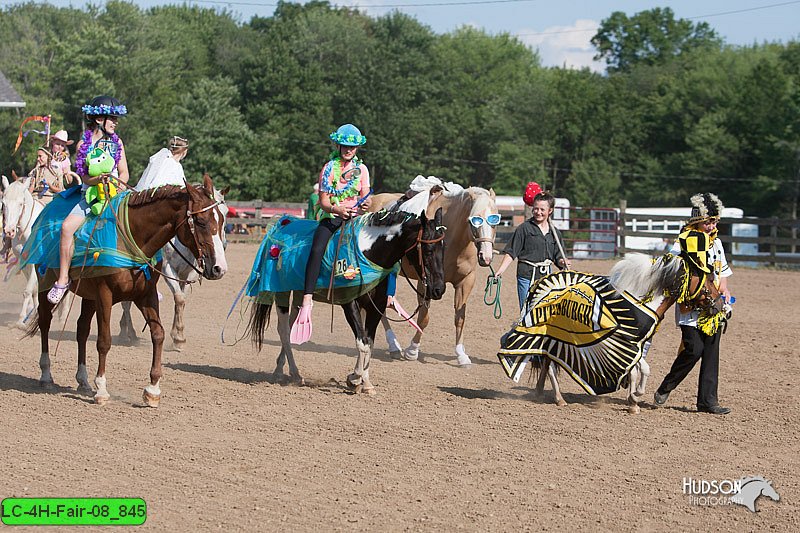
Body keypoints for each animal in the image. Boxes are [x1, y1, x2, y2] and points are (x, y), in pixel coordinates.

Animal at [22, 174, 228, 404]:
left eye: (221, 219)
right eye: (200, 221)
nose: (219, 268)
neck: (130, 239)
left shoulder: (146, 295)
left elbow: (158, 334)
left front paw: (152, 389)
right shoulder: (104, 295)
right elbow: (104, 341)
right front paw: (102, 390)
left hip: (89, 295)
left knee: (82, 330)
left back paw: (83, 380)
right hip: (46, 284)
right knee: (45, 322)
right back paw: (46, 375)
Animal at [245, 191, 444, 390]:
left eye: (443, 249)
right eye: (428, 250)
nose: (439, 289)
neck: (368, 253)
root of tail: (283, 224)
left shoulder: (376, 306)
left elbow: (369, 343)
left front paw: (365, 382)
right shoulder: (349, 302)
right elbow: (362, 342)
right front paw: (355, 378)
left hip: (299, 293)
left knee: (292, 324)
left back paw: (283, 371)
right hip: (282, 291)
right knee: (284, 331)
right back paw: (292, 373)